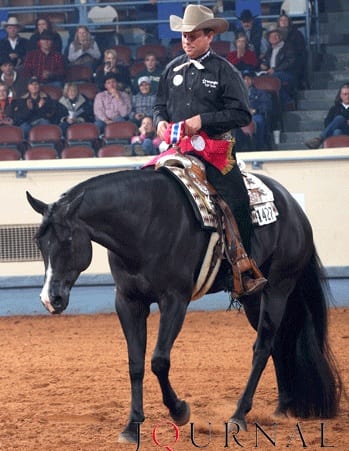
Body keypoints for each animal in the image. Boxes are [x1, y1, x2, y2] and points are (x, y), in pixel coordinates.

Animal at [25, 168, 342, 444]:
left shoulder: (175, 300)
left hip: (278, 288)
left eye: (67, 239)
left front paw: (179, 411)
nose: (50, 299)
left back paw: (238, 415)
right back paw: (281, 407)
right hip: (254, 297)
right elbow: (136, 363)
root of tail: (293, 207)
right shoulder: (128, 301)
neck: (145, 224)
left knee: (263, 347)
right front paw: (132, 426)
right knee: (276, 343)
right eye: (39, 242)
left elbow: (159, 360)